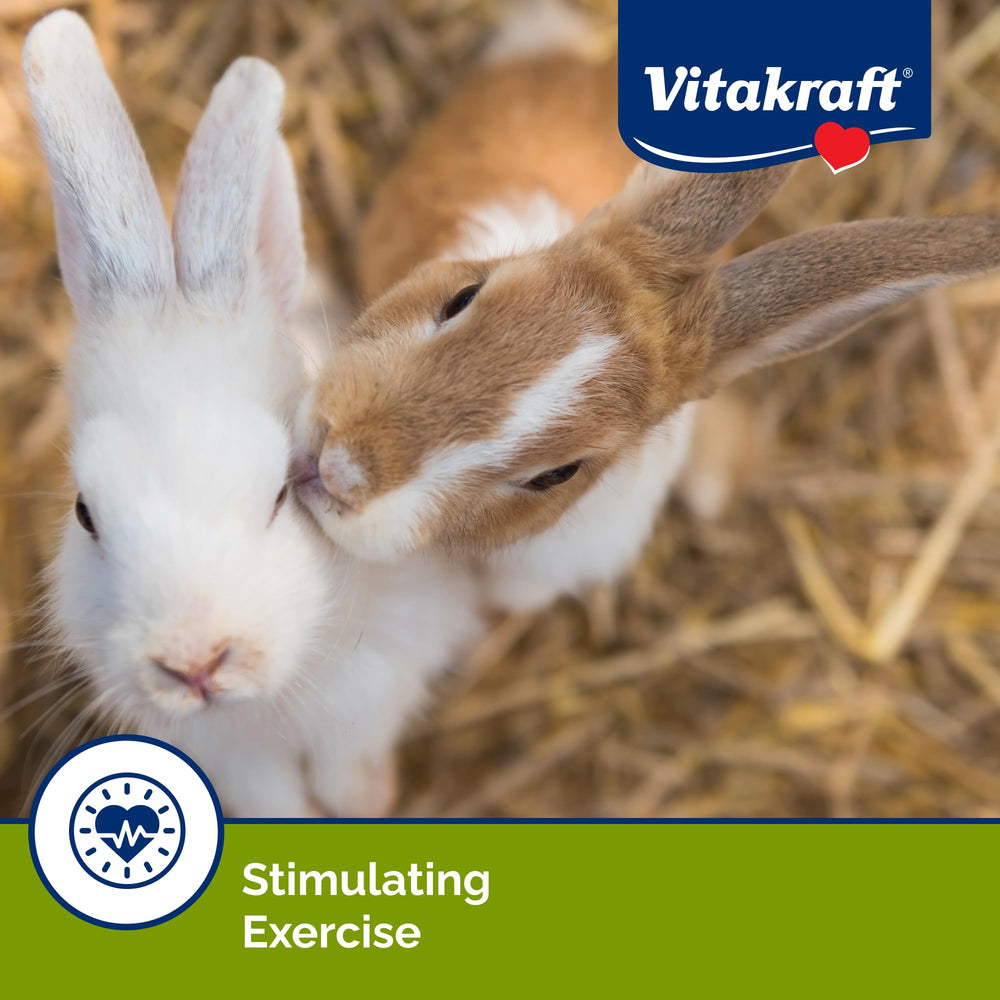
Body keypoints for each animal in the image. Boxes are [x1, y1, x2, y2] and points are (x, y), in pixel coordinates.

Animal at [24, 10, 480, 817]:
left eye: (280, 494)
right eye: (85, 514)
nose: (194, 662)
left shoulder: (373, 692)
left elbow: (347, 773)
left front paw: (368, 800)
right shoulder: (231, 757)